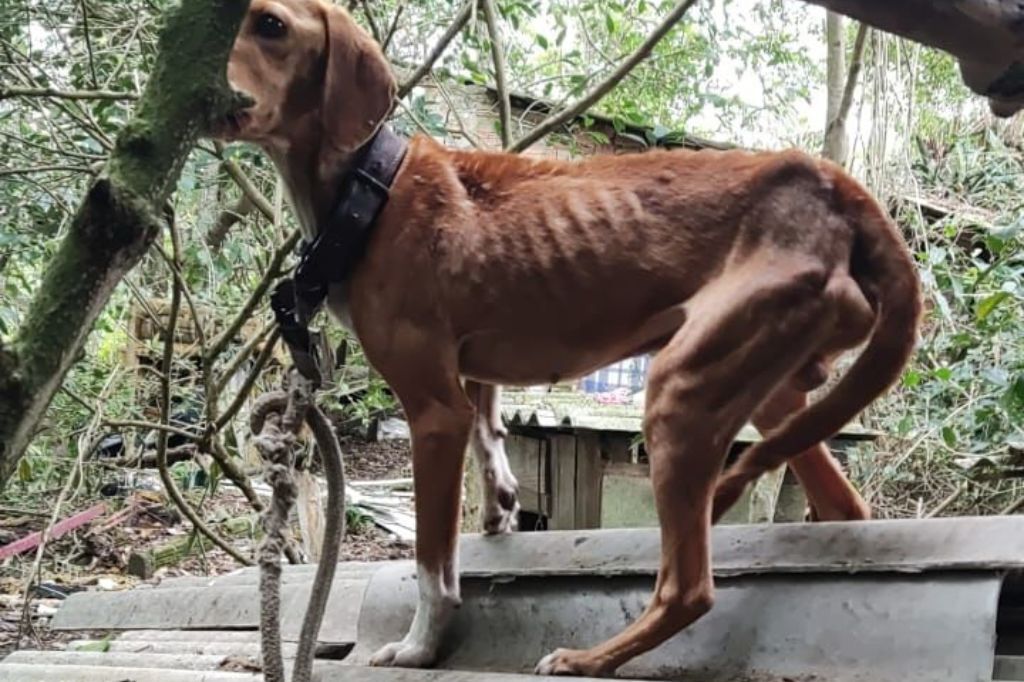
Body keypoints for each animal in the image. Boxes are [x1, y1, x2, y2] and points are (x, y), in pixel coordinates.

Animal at [220, 2, 925, 675]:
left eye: (271, 24)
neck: (371, 187)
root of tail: (839, 191)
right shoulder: (472, 377)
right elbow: (490, 438)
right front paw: (501, 507)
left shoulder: (433, 412)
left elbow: (432, 564)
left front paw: (420, 647)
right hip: (768, 391)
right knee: (844, 508)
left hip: (681, 389)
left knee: (689, 589)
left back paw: (590, 658)